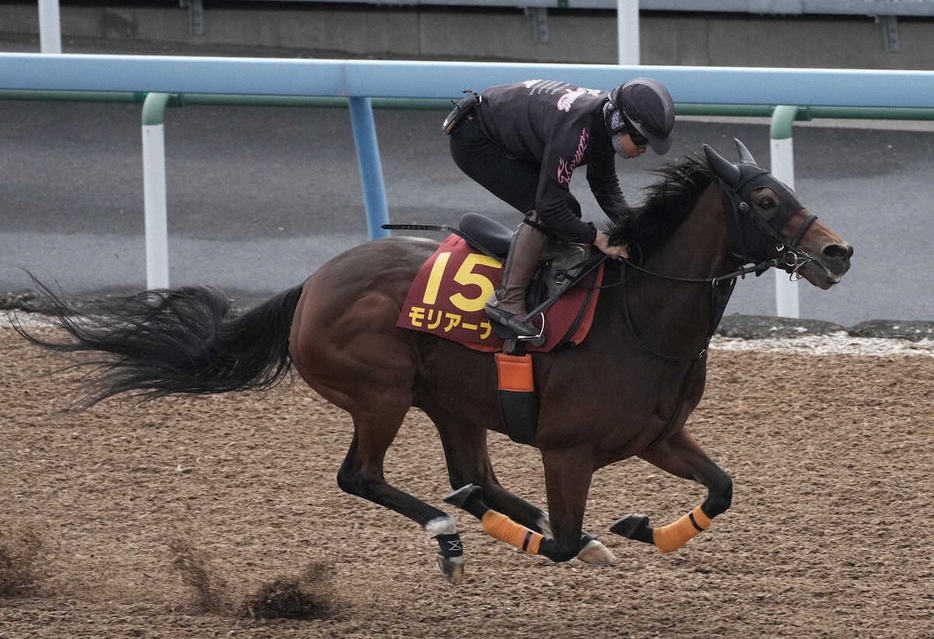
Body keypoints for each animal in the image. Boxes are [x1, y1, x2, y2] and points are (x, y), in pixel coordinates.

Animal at [11, 140, 856, 584]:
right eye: (765, 201)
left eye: (786, 189)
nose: (837, 251)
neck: (640, 317)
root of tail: (313, 282)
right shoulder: (568, 449)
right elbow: (560, 536)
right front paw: (576, 533)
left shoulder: (658, 434)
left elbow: (722, 486)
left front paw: (644, 527)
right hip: (380, 391)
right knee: (366, 476)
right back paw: (450, 528)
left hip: (452, 400)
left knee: (472, 472)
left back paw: (478, 508)